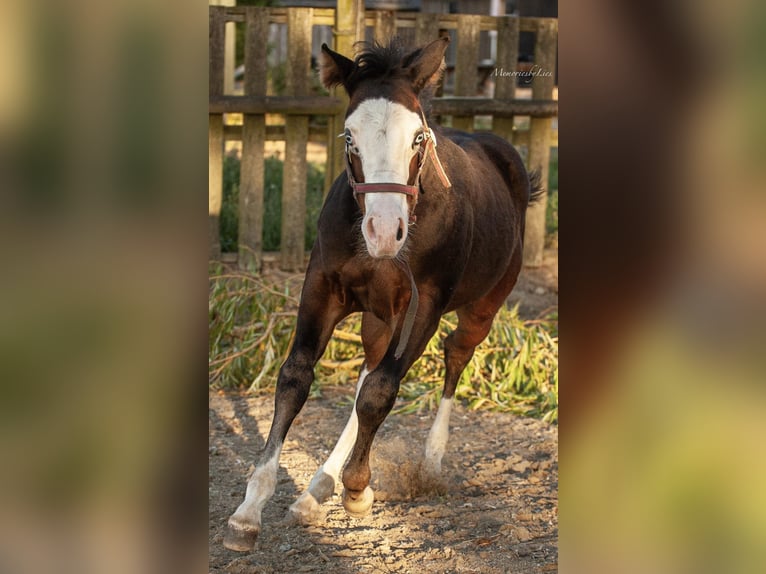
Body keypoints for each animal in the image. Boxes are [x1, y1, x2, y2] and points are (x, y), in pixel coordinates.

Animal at [224, 36, 542, 551]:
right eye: (349, 137)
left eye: (417, 137)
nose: (385, 231)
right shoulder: (323, 288)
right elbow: (296, 378)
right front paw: (248, 512)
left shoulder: (422, 306)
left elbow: (380, 393)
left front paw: (357, 491)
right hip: (378, 317)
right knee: (368, 370)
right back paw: (313, 493)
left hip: (483, 305)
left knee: (454, 356)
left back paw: (430, 462)